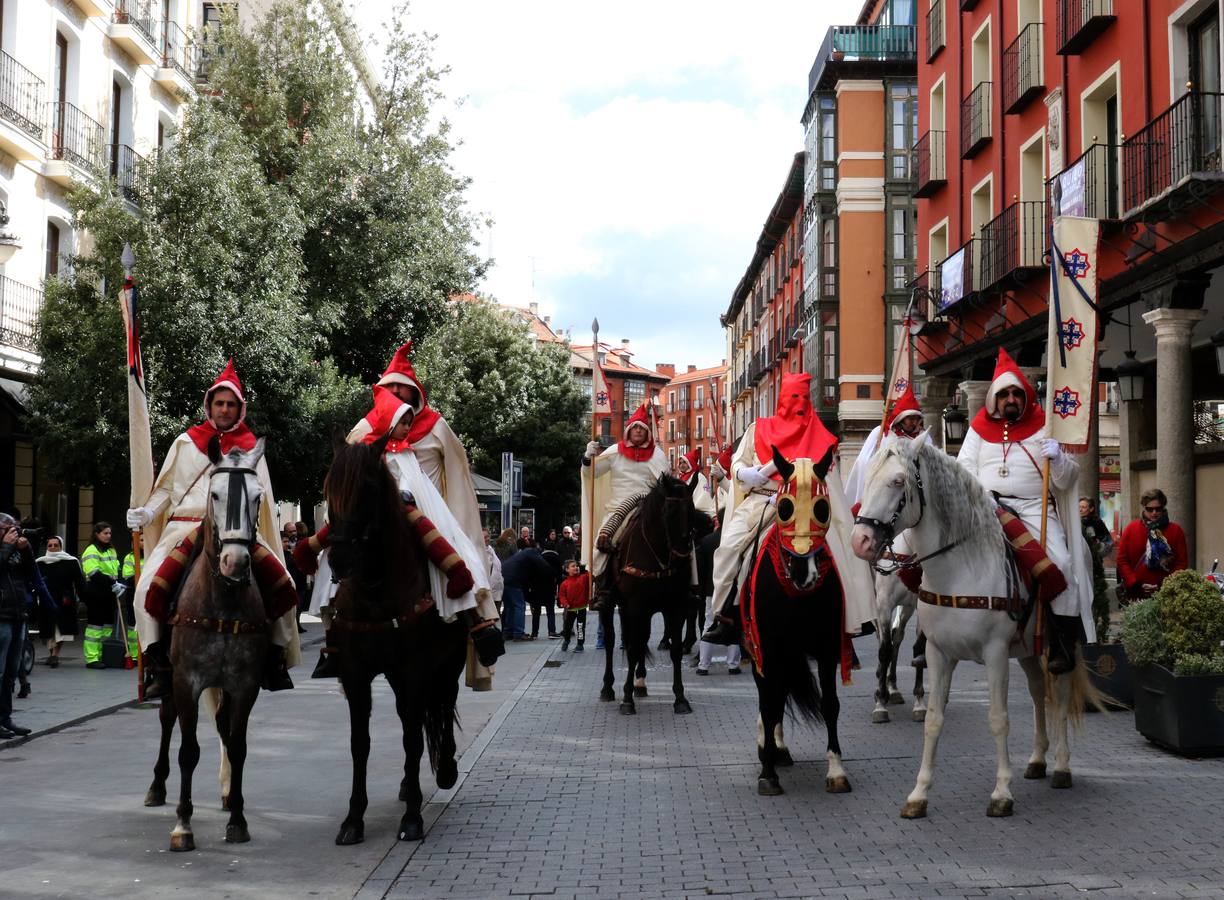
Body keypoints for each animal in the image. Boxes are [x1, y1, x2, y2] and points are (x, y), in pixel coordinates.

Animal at [143, 435, 270, 852]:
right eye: (215, 494)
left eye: (258, 497)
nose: (235, 562)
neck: (222, 601)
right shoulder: (187, 682)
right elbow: (188, 751)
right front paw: (183, 826)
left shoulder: (244, 685)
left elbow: (239, 745)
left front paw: (238, 819)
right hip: (168, 678)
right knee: (167, 720)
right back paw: (156, 786)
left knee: (224, 729)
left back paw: (229, 793)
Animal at [320, 440, 467, 847]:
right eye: (328, 489)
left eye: (368, 488)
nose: (339, 559)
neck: (376, 592)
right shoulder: (355, 675)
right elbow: (360, 744)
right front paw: (353, 819)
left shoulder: (416, 671)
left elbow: (414, 740)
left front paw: (413, 817)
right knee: (409, 718)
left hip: (448, 665)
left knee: (442, 708)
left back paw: (445, 769)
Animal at [594, 475, 695, 715]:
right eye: (669, 512)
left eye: (692, 511)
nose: (682, 556)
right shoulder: (637, 606)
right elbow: (631, 648)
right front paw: (626, 700)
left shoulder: (675, 607)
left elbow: (675, 650)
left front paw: (680, 698)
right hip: (613, 606)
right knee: (612, 640)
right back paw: (608, 688)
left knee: (641, 639)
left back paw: (639, 683)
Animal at [744, 448, 851, 793]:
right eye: (785, 507)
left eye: (822, 507)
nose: (805, 574)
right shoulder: (766, 648)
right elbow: (768, 703)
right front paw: (767, 773)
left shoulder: (828, 647)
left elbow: (831, 704)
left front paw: (836, 769)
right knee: (771, 696)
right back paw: (769, 749)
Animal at [851, 435, 1101, 817]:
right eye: (867, 479)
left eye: (897, 481)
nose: (861, 541)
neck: (960, 569)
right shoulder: (939, 653)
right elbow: (933, 718)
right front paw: (919, 794)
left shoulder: (995, 655)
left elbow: (998, 719)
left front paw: (1001, 793)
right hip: (1027, 650)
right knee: (1037, 694)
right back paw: (1037, 760)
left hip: (1060, 645)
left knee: (1057, 697)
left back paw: (1061, 766)